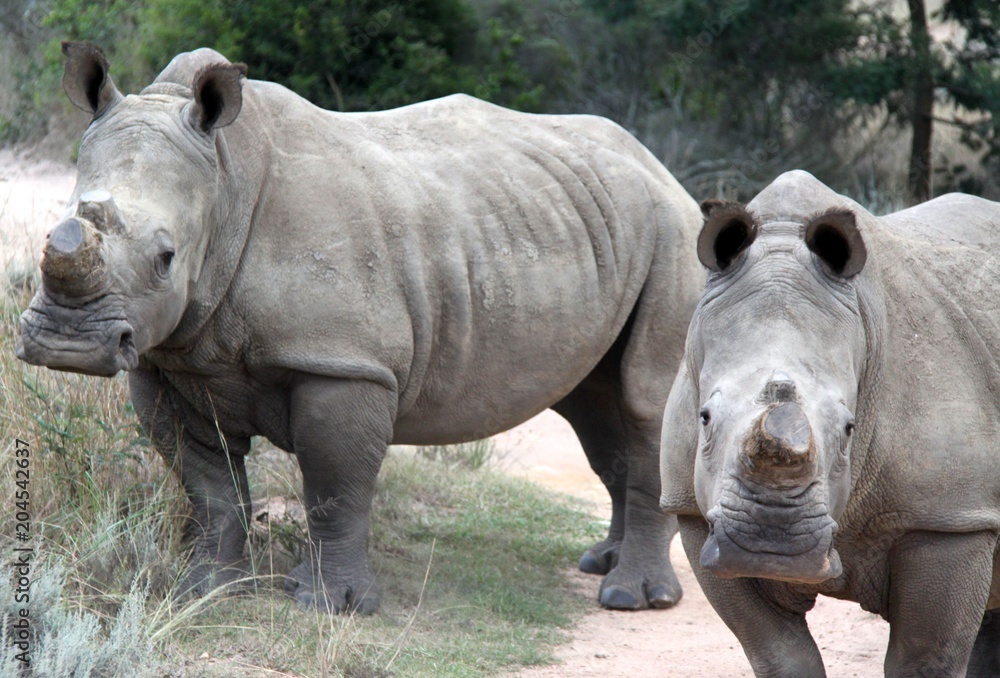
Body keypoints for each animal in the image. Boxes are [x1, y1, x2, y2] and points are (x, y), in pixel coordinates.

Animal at [17, 43, 705, 613]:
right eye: (56, 225)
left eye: (166, 258)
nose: (68, 344)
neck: (224, 187)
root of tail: (664, 171)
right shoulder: (170, 359)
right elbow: (207, 484)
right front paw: (205, 590)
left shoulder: (344, 363)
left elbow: (334, 485)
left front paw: (332, 605)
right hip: (592, 224)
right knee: (596, 405)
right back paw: (601, 563)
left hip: (676, 236)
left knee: (647, 400)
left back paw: (632, 597)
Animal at [659, 170, 1000, 676]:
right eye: (704, 419)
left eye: (848, 429)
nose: (772, 545)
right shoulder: (693, 513)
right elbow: (779, 653)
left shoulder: (950, 518)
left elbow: (925, 659)